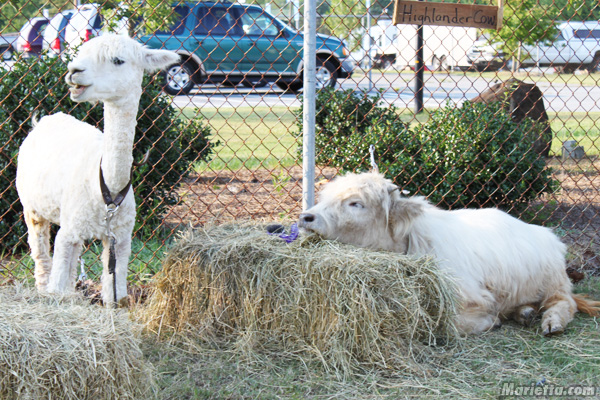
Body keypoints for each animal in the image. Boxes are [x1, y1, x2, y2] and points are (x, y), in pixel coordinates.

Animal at [300, 172, 600, 334]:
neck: (415, 240)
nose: (306, 217)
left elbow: (454, 324)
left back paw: (551, 322)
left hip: (554, 284)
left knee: (565, 304)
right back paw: (524, 312)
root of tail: (546, 234)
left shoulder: (471, 297)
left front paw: (491, 321)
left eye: (356, 203)